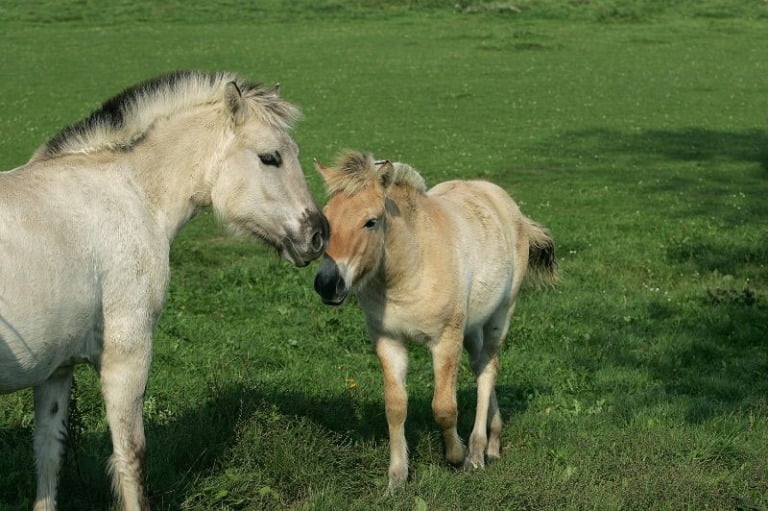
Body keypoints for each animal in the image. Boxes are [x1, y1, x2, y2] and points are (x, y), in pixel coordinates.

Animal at [0, 72, 328, 511]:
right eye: (270, 157)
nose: (319, 234)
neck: (130, 192)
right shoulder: (128, 355)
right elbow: (131, 456)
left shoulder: (56, 370)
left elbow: (49, 456)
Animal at [312, 151, 560, 492]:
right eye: (326, 219)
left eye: (371, 221)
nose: (327, 284)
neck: (411, 266)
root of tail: (512, 210)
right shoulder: (388, 341)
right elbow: (395, 407)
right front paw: (396, 479)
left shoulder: (445, 340)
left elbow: (444, 408)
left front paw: (456, 456)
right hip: (472, 327)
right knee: (481, 367)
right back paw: (493, 444)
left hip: (500, 316)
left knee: (488, 371)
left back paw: (477, 452)